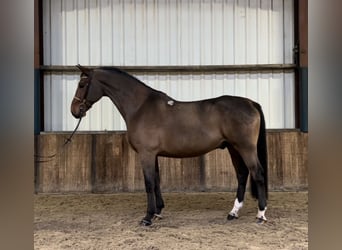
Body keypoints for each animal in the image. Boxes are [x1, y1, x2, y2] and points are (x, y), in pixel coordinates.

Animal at [72, 64, 268, 225]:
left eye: (82, 84)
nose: (74, 111)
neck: (140, 107)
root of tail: (251, 103)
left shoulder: (146, 154)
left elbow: (149, 183)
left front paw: (147, 218)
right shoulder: (153, 155)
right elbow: (156, 181)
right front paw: (158, 212)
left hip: (245, 148)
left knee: (257, 173)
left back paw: (260, 215)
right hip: (233, 148)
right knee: (242, 174)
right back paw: (233, 213)